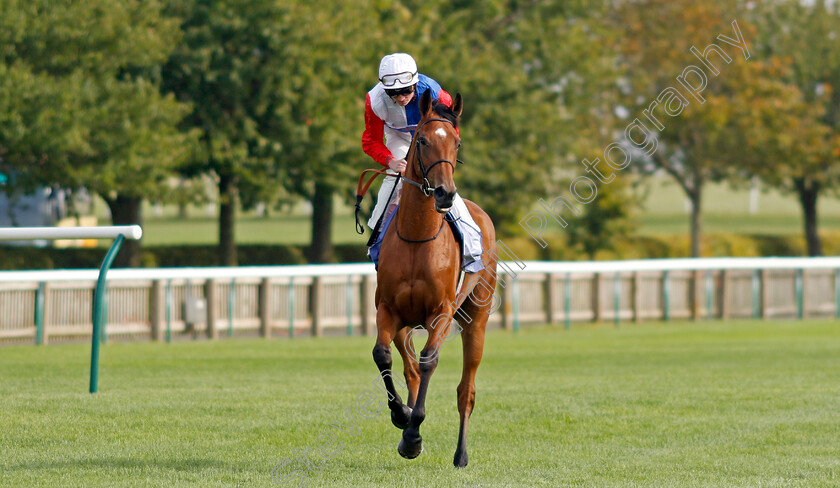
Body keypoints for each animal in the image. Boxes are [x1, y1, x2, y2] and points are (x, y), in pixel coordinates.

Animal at [370, 89, 496, 468]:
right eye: (422, 140)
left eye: (457, 141)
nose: (444, 193)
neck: (417, 235)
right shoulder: (388, 310)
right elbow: (382, 356)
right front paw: (402, 418)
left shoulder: (441, 311)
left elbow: (429, 360)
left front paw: (413, 436)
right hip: (405, 324)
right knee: (408, 368)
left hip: (477, 319)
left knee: (466, 390)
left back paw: (460, 454)